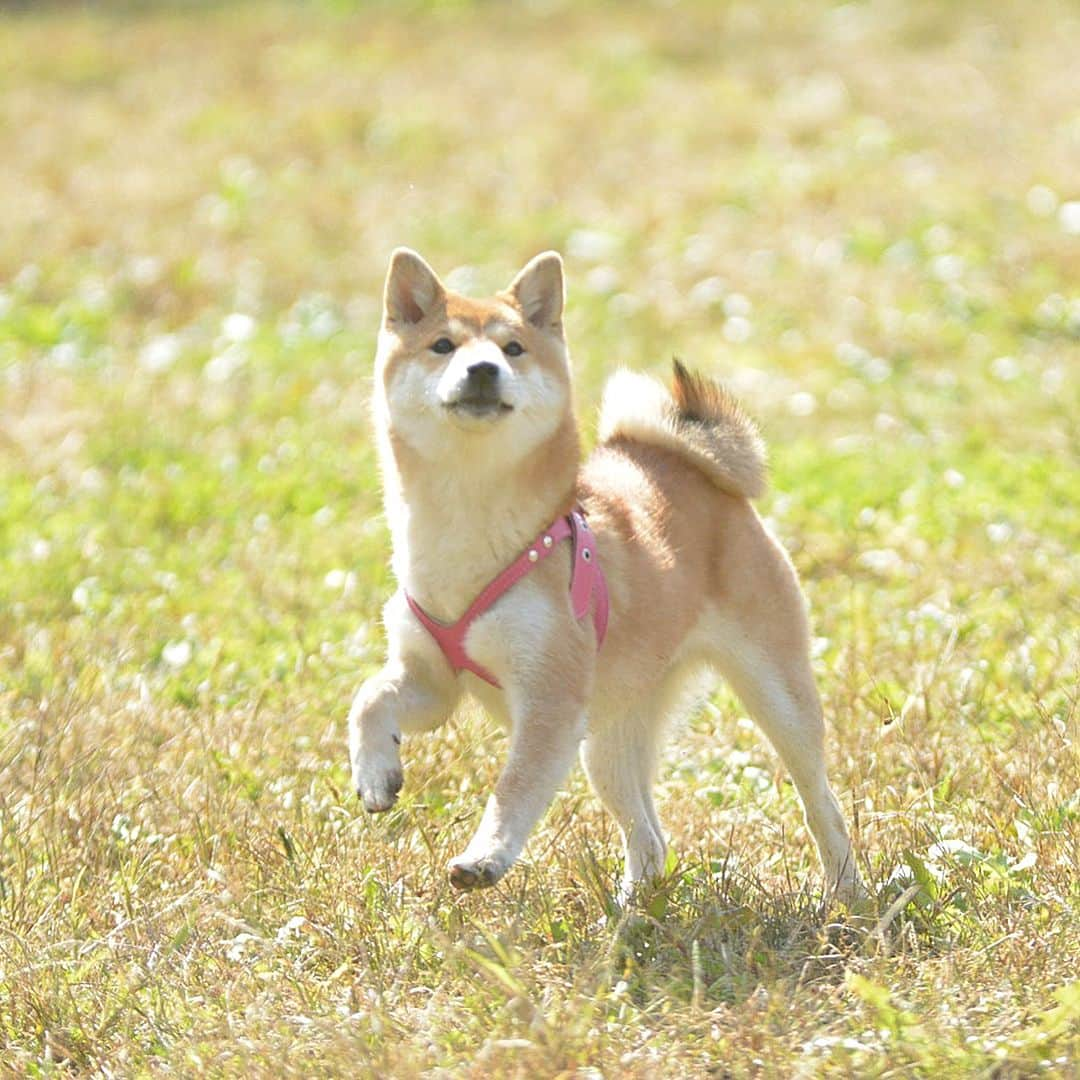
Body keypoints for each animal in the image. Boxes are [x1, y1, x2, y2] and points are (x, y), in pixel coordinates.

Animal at [349, 248, 864, 898]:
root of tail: (684, 465)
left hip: (777, 696)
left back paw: (846, 892)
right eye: (443, 345)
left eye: (513, 348)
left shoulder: (549, 698)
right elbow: (370, 699)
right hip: (610, 738)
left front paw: (485, 856)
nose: (484, 369)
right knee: (649, 837)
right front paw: (375, 773)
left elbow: (513, 787)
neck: (465, 528)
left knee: (821, 803)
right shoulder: (432, 679)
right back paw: (632, 907)